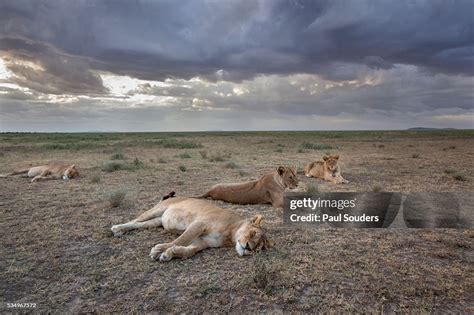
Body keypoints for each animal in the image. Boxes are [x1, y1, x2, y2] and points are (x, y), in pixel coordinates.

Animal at [110, 194, 272, 262]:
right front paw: (159, 249)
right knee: (135, 219)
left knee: (139, 224)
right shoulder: (199, 224)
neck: (230, 236)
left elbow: (190, 250)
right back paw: (117, 228)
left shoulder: (203, 242)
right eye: (253, 233)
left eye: (258, 248)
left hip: (156, 221)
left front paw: (170, 254)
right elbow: (182, 239)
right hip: (157, 209)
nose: (248, 248)